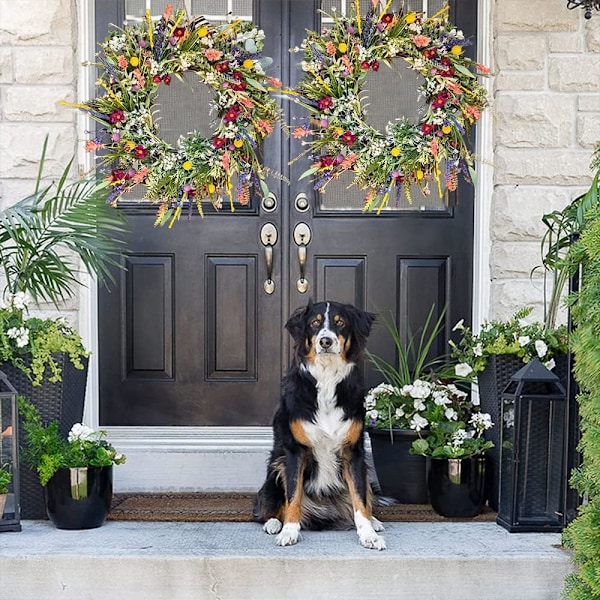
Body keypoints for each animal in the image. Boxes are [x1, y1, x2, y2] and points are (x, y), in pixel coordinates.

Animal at [252, 302, 384, 552]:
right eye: (314, 323)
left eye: (340, 322)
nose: (325, 341)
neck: (327, 378)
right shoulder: (295, 451)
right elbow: (293, 496)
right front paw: (289, 532)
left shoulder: (353, 452)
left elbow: (360, 499)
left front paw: (368, 534)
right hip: (275, 470)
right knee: (269, 506)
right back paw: (273, 523)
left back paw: (374, 521)